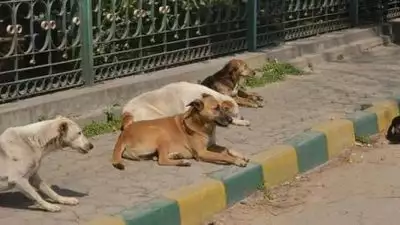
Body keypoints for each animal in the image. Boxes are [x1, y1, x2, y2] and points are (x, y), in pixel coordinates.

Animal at [112, 93, 248, 171]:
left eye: (224, 108)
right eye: (215, 108)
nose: (231, 120)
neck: (202, 125)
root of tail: (123, 135)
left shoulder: (211, 145)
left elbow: (227, 148)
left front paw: (241, 155)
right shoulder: (202, 152)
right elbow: (223, 155)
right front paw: (238, 161)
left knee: (156, 157)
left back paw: (176, 155)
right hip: (161, 133)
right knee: (161, 160)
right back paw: (182, 162)